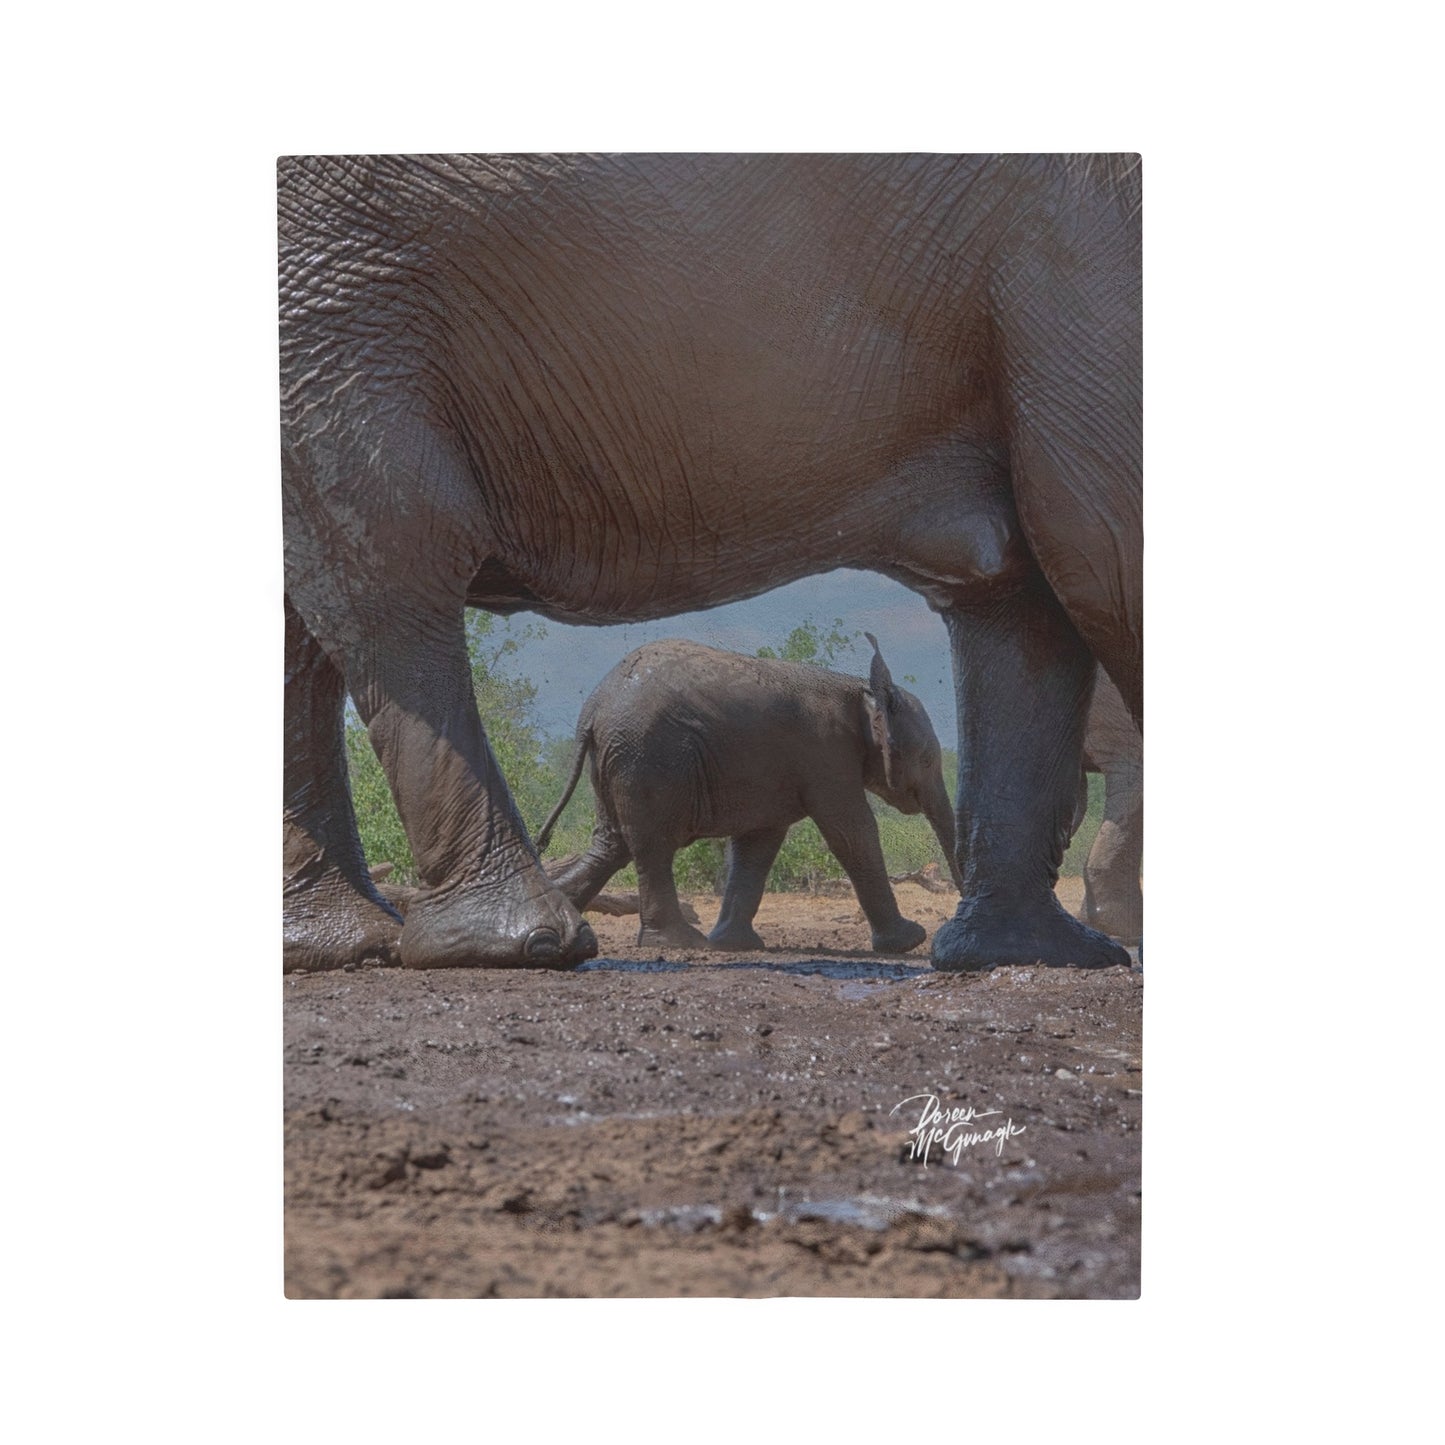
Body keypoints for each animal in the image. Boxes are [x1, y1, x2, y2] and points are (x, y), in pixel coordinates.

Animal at [533, 635, 964, 953]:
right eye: (928, 759)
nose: (952, 922)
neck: (862, 691)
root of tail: (593, 708)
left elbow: (757, 846)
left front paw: (736, 944)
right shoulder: (826, 756)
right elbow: (852, 833)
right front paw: (910, 941)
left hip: (618, 759)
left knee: (611, 846)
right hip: (648, 756)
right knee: (651, 845)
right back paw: (681, 943)